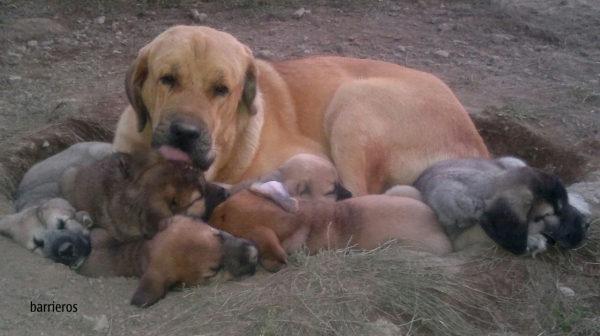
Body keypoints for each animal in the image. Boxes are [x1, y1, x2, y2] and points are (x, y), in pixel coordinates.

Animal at [412, 158, 592, 255]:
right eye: (550, 214)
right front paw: (531, 239)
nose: (586, 224)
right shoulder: (455, 238)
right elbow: (478, 232)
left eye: (564, 203)